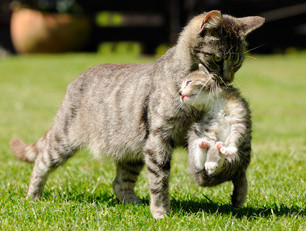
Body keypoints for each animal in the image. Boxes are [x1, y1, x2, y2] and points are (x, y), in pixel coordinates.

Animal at [179, 64, 251, 208]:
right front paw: (211, 154)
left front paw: (227, 147)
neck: (216, 102)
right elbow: (211, 141)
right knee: (201, 165)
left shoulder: (239, 119)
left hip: (237, 158)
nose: (179, 92)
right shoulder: (210, 126)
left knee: (222, 167)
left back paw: (218, 154)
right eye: (181, 85)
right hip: (194, 134)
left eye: (188, 82)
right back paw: (203, 147)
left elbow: (235, 135)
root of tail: (239, 172)